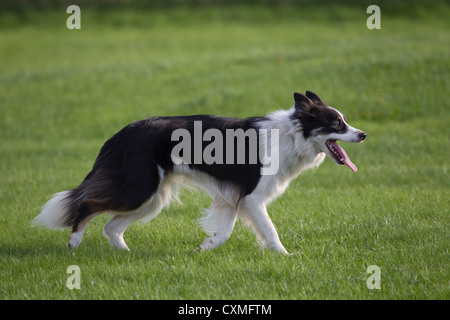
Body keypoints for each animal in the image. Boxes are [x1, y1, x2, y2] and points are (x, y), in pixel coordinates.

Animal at [34, 91, 366, 254]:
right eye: (337, 124)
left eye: (345, 121)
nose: (363, 134)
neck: (293, 134)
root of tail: (122, 133)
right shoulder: (251, 197)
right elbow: (270, 230)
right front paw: (286, 256)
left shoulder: (234, 198)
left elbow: (225, 231)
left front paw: (205, 248)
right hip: (138, 188)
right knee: (86, 205)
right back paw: (73, 244)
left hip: (153, 198)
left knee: (111, 226)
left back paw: (125, 253)